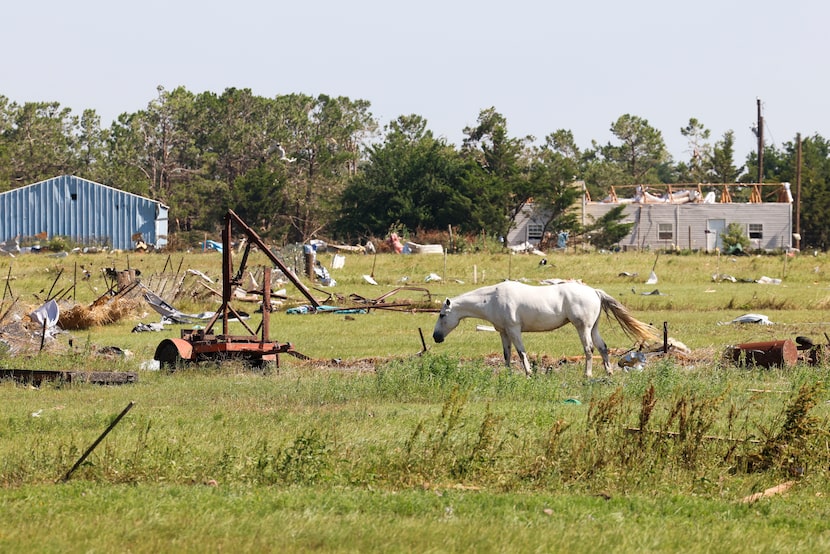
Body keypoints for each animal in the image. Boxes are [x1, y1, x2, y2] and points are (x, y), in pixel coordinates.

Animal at [432, 280, 660, 376]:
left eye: (442, 315)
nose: (436, 337)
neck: (492, 299)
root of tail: (594, 291)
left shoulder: (514, 330)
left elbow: (521, 353)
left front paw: (529, 374)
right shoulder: (504, 332)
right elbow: (507, 355)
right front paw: (507, 375)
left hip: (583, 328)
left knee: (588, 350)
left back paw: (587, 375)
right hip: (593, 328)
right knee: (603, 348)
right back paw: (609, 373)